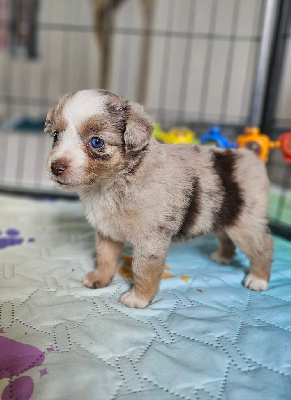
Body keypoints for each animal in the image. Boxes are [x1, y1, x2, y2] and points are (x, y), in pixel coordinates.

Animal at [45, 90, 274, 308]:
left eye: (96, 142)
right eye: (55, 136)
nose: (56, 167)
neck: (111, 184)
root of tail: (252, 157)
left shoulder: (150, 242)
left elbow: (143, 270)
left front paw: (139, 298)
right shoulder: (107, 232)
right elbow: (105, 257)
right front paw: (100, 278)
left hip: (246, 224)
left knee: (263, 246)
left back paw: (258, 279)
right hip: (224, 217)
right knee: (226, 237)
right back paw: (224, 257)